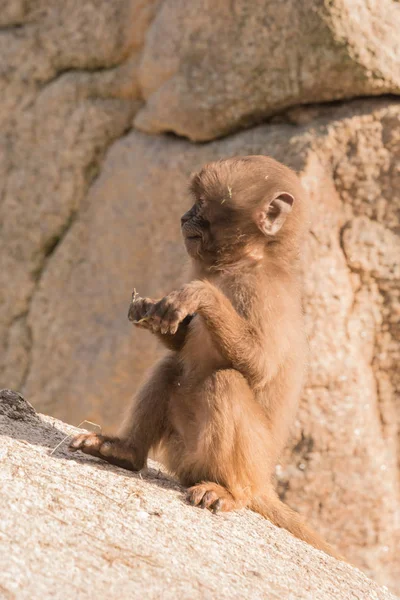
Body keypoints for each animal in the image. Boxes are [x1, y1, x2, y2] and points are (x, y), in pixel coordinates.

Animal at [70, 155, 340, 556]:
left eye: (202, 203)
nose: (183, 217)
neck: (249, 259)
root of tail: (263, 480)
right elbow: (177, 345)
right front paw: (148, 310)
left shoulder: (261, 292)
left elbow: (259, 366)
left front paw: (198, 295)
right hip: (185, 449)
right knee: (171, 369)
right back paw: (125, 453)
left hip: (242, 458)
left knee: (225, 381)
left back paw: (231, 492)